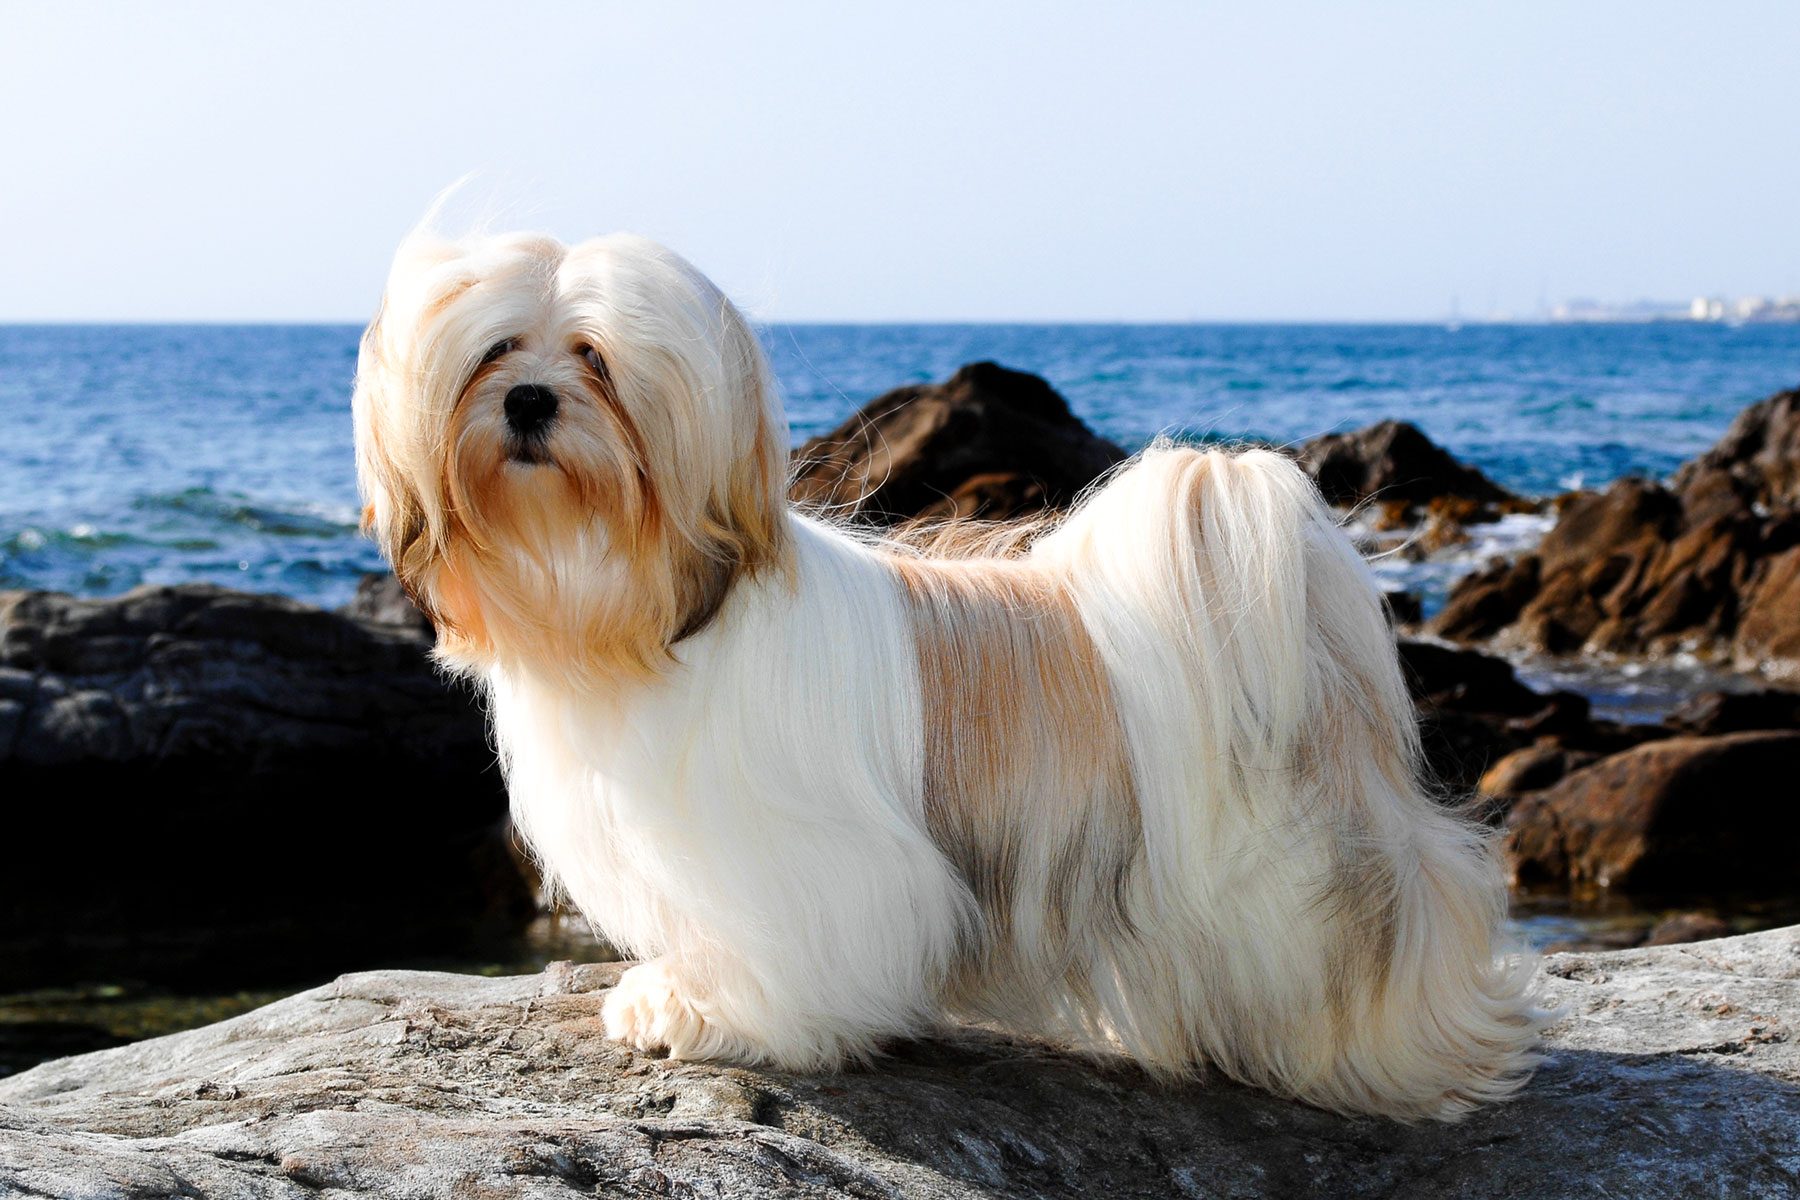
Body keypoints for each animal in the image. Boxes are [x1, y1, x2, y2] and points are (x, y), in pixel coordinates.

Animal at [354, 224, 1548, 1129]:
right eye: (496, 351)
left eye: (596, 359)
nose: (530, 401)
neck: (632, 609)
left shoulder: (799, 858)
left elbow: (789, 948)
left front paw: (716, 1016)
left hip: (1285, 871)